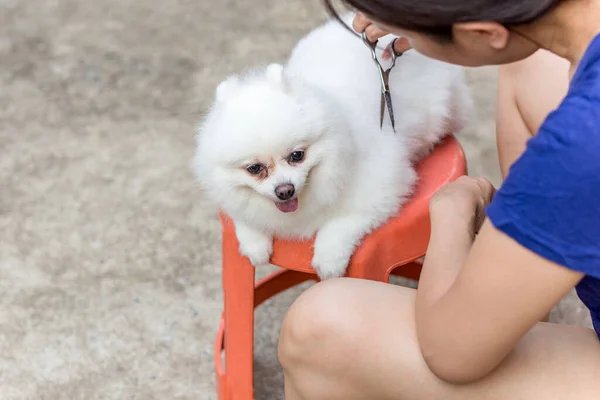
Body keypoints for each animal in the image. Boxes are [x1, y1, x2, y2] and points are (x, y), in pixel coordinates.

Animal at [195, 14, 472, 280]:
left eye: (297, 155)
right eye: (254, 168)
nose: (284, 190)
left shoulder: (382, 185)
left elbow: (343, 223)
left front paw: (328, 261)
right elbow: (243, 215)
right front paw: (254, 245)